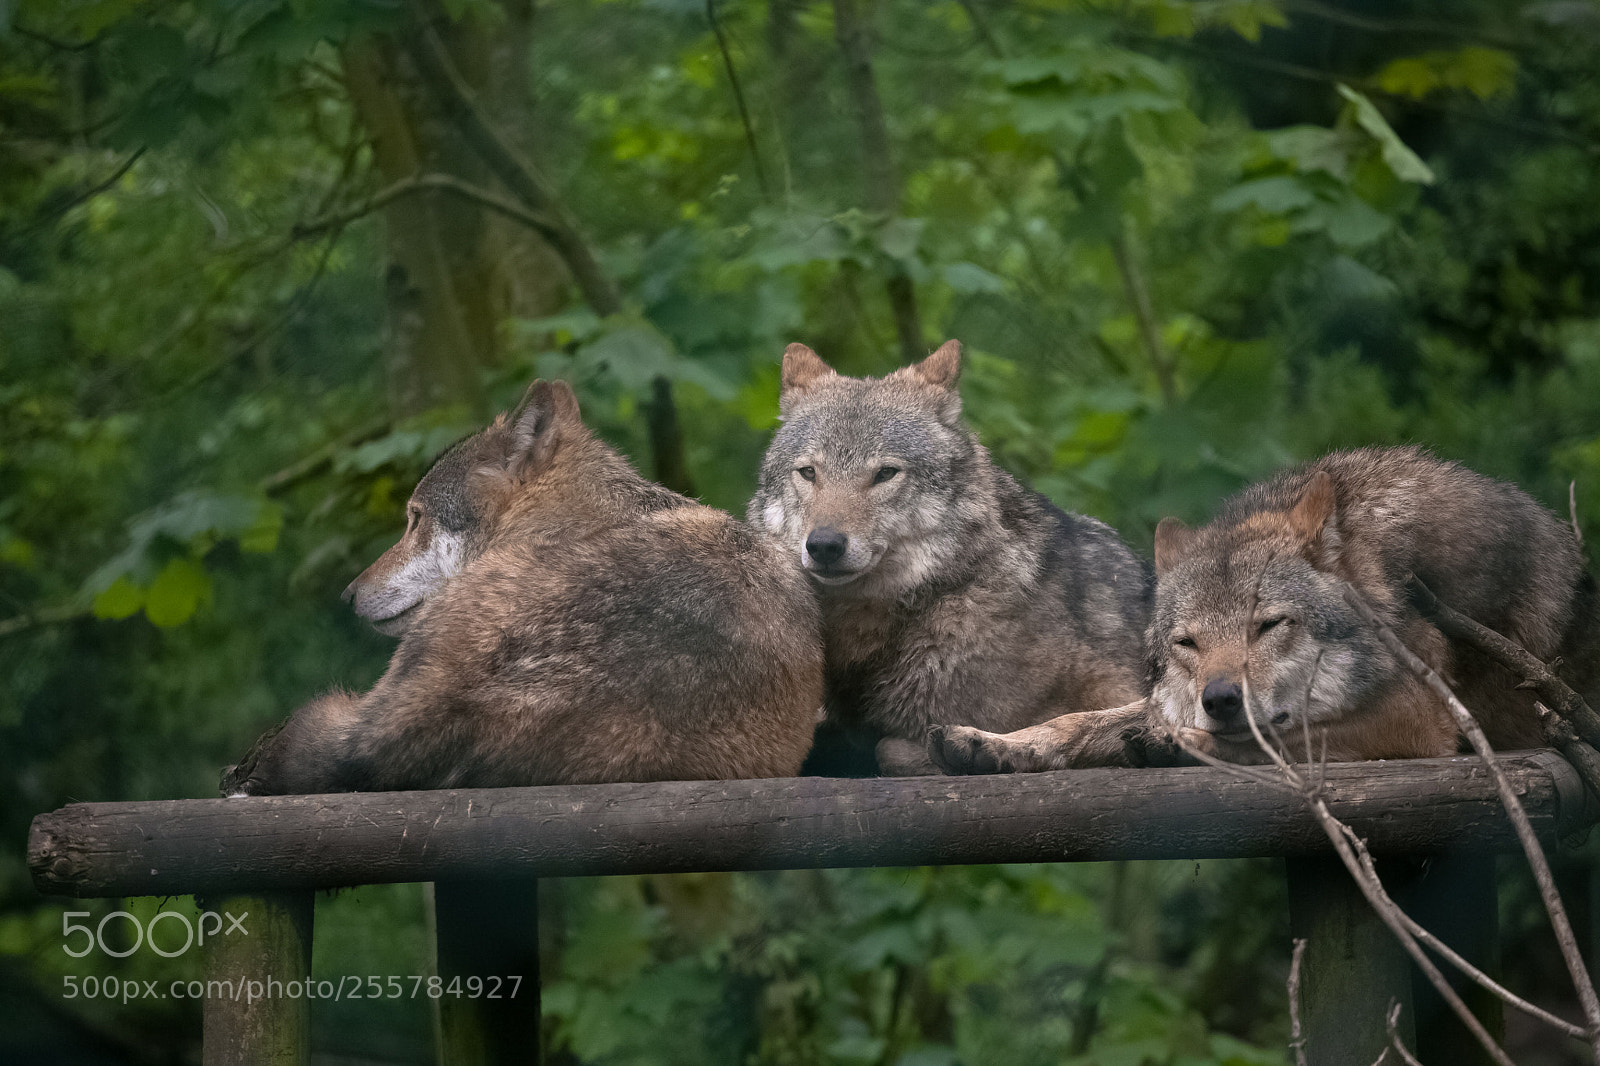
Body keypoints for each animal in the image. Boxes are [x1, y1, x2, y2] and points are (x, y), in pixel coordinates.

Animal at [930, 446, 1598, 772]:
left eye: (1269, 626)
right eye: (1187, 643)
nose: (1219, 698)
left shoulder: (1419, 717)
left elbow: (1278, 736)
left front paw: (1177, 743)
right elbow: (1076, 720)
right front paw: (992, 743)